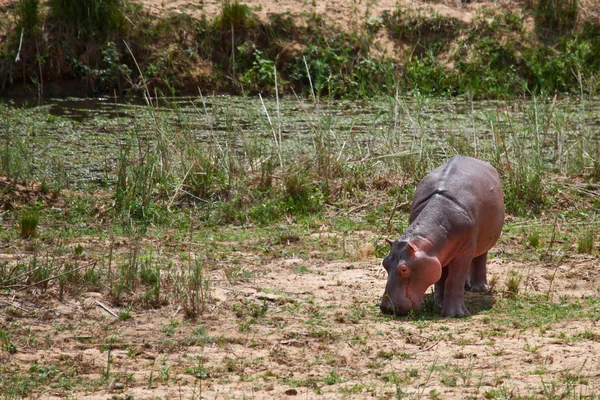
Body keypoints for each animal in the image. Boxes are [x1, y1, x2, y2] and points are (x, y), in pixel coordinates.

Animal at [382, 155, 504, 318]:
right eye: (384, 263)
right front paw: (438, 303)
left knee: (480, 257)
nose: (387, 308)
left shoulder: (465, 250)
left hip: (483, 241)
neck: (426, 243)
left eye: (403, 269)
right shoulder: (441, 252)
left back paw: (479, 288)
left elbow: (454, 279)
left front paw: (456, 314)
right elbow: (441, 275)